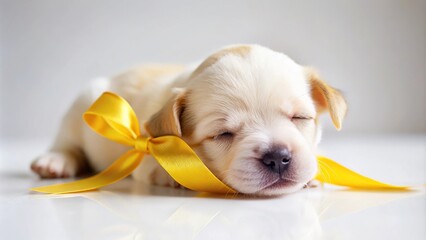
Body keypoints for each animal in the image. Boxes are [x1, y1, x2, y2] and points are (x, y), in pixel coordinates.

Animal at [30, 44, 346, 195]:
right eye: (223, 134)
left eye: (300, 117)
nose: (278, 157)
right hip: (80, 108)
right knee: (66, 143)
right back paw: (55, 161)